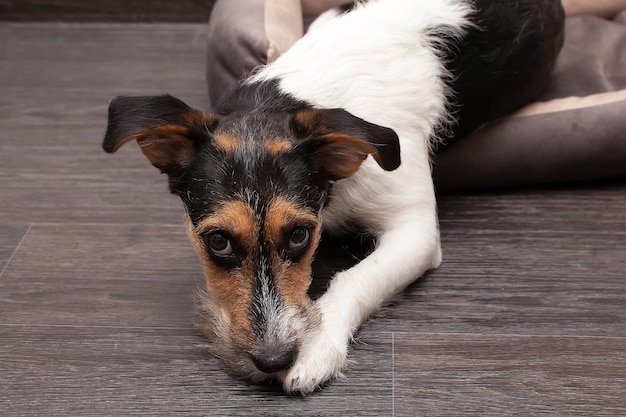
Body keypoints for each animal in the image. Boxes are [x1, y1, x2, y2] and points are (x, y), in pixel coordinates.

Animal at [101, 0, 560, 394]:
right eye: (218, 241)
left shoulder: (415, 231)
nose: (273, 359)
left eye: (300, 235)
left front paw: (317, 346)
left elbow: (356, 277)